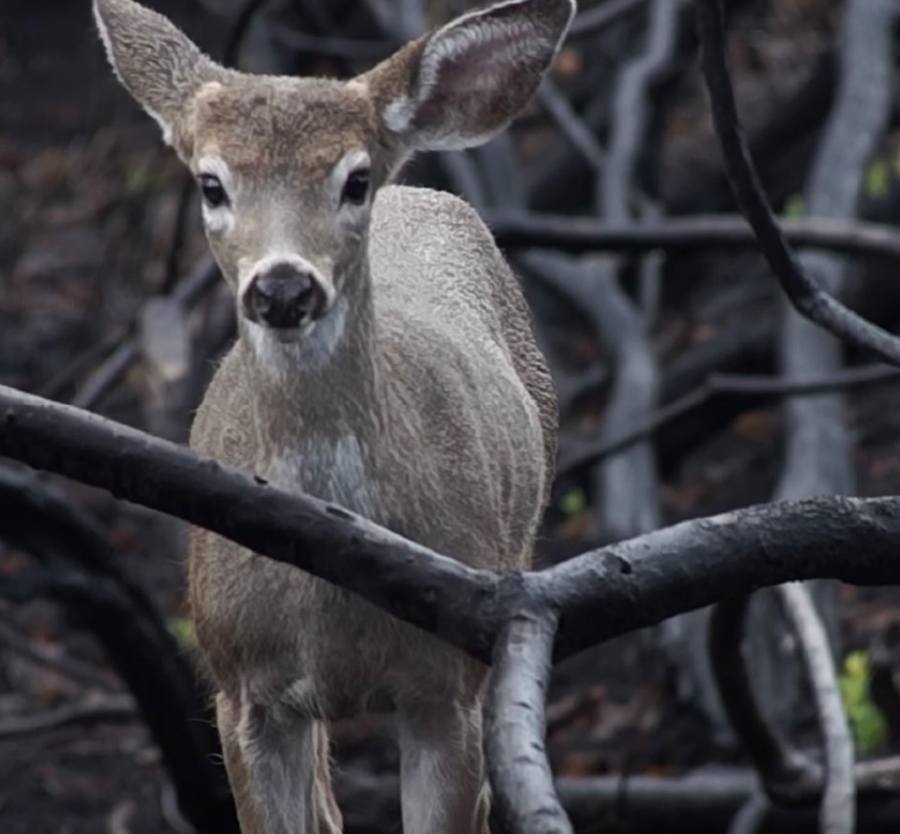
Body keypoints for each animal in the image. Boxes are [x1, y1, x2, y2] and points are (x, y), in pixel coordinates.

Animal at [94, 0, 570, 831]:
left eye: (354, 179)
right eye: (211, 184)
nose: (284, 286)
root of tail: (426, 193)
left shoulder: (446, 683)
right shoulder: (241, 690)